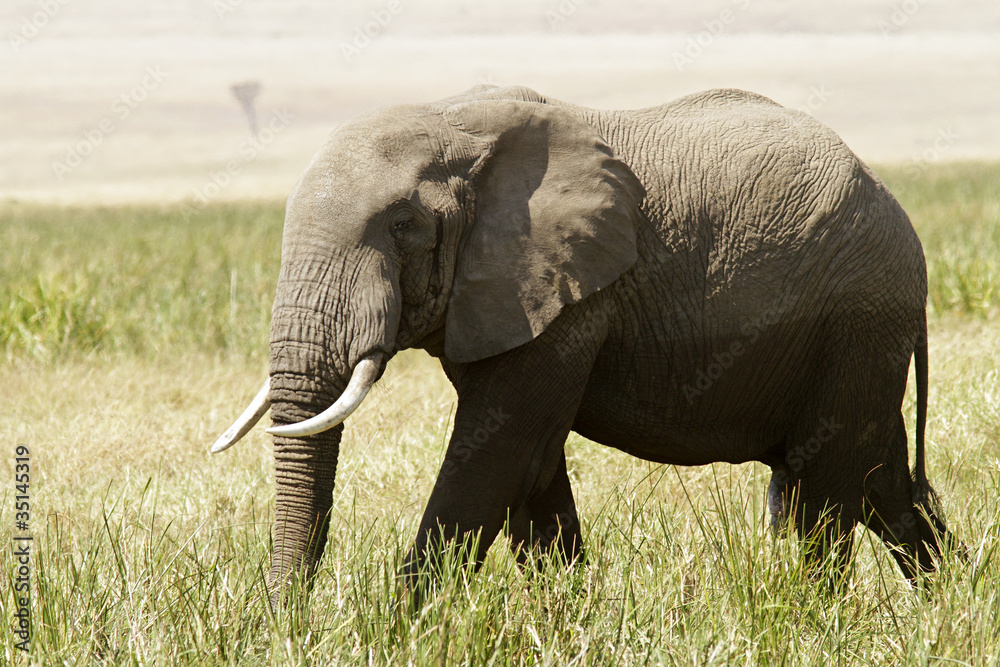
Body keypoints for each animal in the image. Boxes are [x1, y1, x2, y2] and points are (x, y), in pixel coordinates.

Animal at [212, 84, 954, 598]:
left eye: (404, 226)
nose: (288, 621)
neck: (456, 119)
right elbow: (532, 466)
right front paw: (568, 618)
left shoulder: (569, 294)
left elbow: (494, 456)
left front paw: (399, 631)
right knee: (883, 483)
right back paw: (950, 605)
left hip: (858, 319)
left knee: (825, 494)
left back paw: (809, 614)